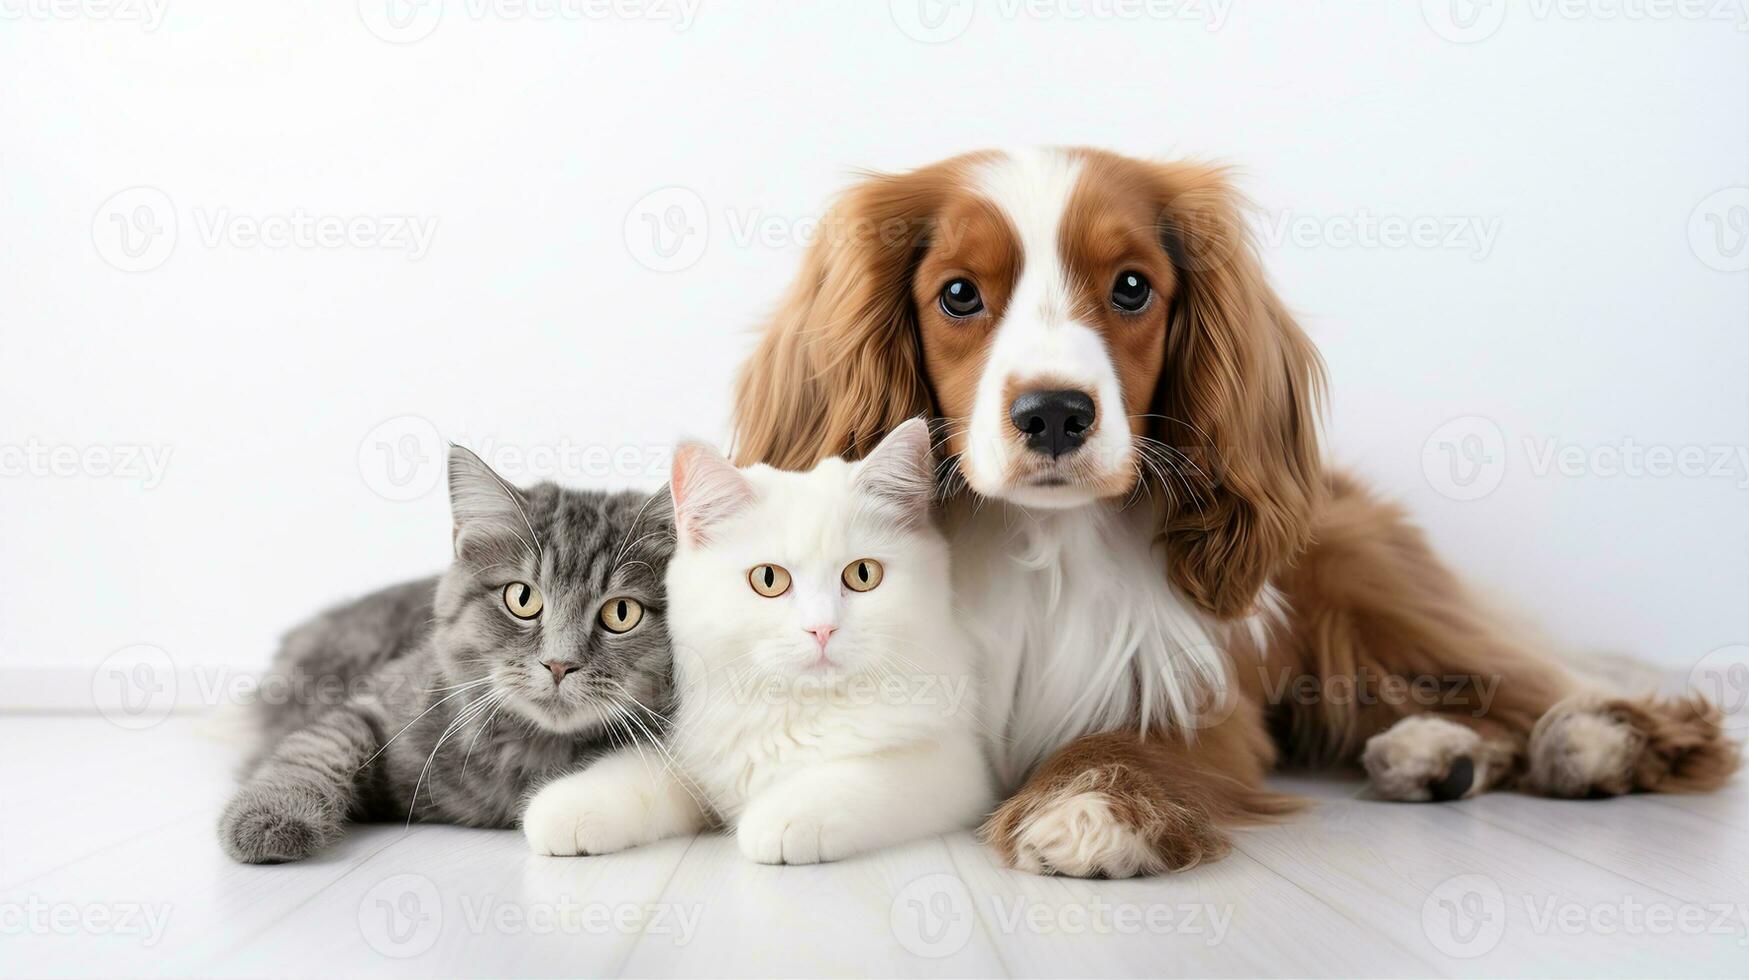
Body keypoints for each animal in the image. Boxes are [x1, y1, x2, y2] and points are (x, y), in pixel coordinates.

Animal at [222, 446, 671, 864]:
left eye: (621, 613)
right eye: (522, 598)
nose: (559, 664)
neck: (531, 750)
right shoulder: (376, 704)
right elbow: (317, 747)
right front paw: (268, 815)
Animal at [521, 421, 1000, 864]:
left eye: (863, 574)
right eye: (769, 579)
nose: (822, 629)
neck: (793, 710)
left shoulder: (954, 767)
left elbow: (860, 774)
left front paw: (784, 816)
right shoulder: (693, 754)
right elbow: (641, 773)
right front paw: (568, 808)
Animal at [724, 149, 1735, 875]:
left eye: (1132, 286)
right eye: (959, 294)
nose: (1053, 412)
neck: (1040, 543)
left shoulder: (1194, 699)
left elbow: (1125, 746)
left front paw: (1088, 806)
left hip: (1374, 601)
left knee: (1548, 688)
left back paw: (1596, 739)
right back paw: (1432, 754)